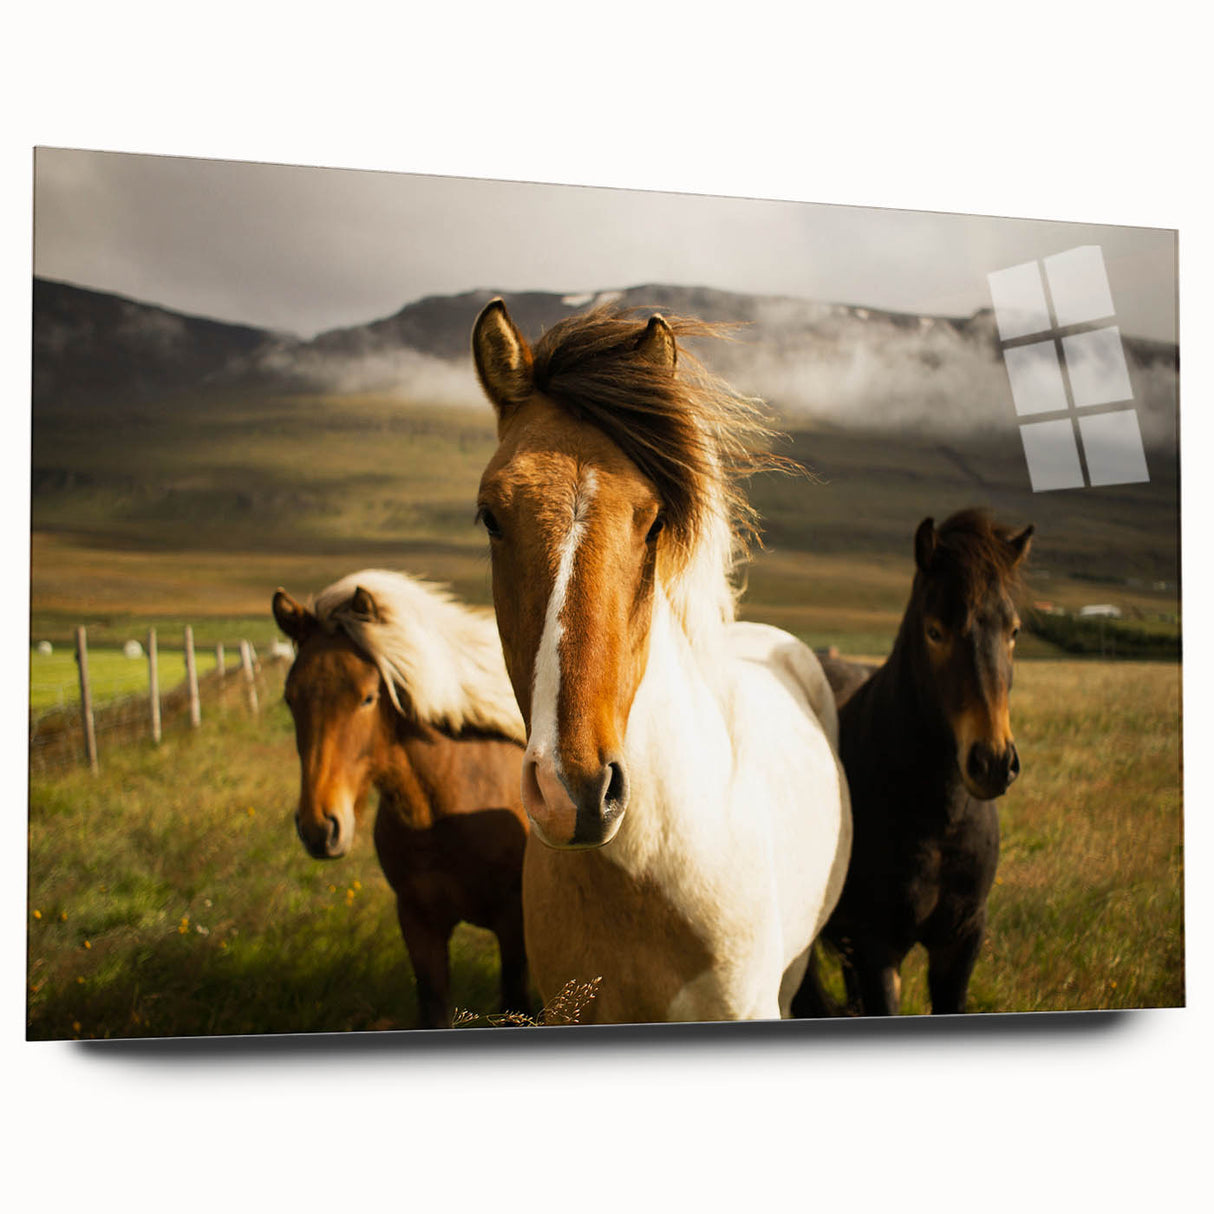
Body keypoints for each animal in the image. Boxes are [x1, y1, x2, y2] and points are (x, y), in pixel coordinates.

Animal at [272, 569, 531, 1029]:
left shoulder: (513, 926)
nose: (320, 828)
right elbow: (433, 1006)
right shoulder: (418, 922)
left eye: (367, 697)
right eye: (290, 697)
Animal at [792, 509, 1033, 1017]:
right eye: (935, 630)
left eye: (1014, 631)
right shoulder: (878, 947)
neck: (940, 818)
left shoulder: (960, 942)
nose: (993, 761)